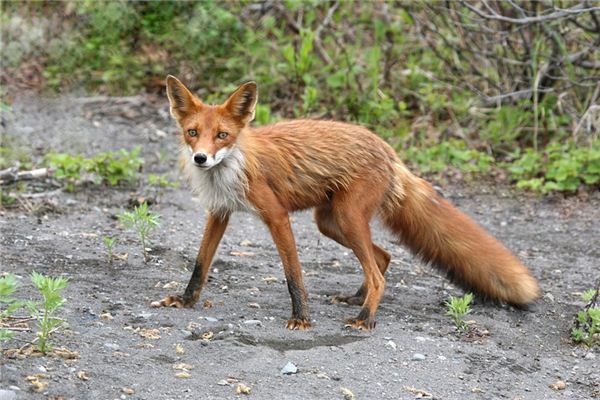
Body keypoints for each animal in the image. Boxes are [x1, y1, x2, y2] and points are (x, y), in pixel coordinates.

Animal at [152, 76, 540, 332]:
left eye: (222, 135)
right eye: (192, 133)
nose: (201, 158)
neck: (232, 167)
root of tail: (388, 150)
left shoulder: (276, 215)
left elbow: (294, 274)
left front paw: (301, 318)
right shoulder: (219, 212)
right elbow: (200, 265)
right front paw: (186, 301)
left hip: (348, 217)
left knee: (378, 271)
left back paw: (365, 318)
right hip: (331, 222)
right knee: (383, 258)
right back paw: (357, 299)